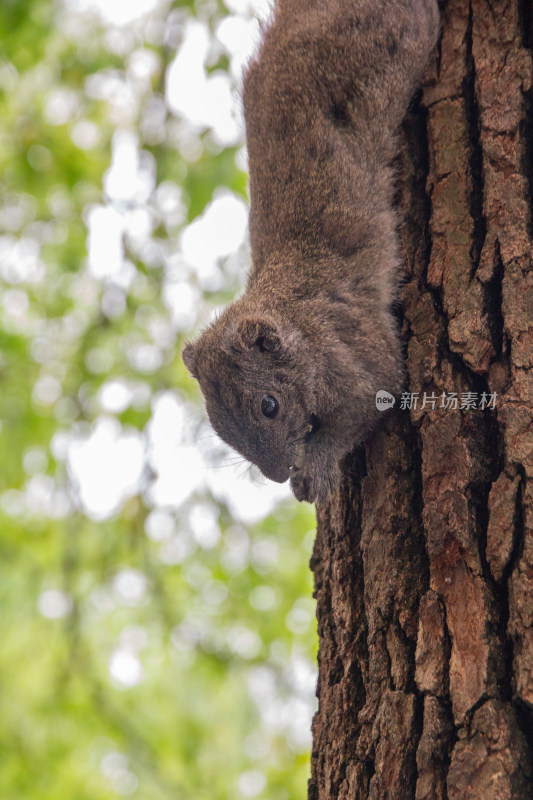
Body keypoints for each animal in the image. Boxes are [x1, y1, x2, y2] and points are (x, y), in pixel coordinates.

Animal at [183, 0, 440, 500]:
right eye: (220, 428)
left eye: (269, 405)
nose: (277, 475)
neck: (295, 316)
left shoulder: (355, 351)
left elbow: (371, 401)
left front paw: (315, 469)